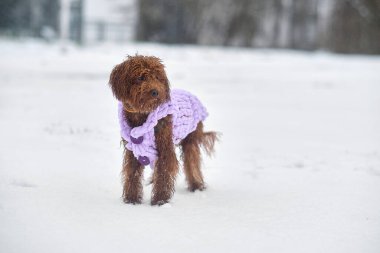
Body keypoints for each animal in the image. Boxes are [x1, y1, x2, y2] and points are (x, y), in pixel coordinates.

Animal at [108, 55, 218, 206]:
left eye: (157, 77)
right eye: (141, 77)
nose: (156, 92)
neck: (142, 115)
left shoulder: (164, 147)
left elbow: (164, 171)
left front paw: (160, 200)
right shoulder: (133, 150)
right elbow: (132, 173)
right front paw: (131, 200)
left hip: (191, 139)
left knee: (192, 162)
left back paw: (197, 186)